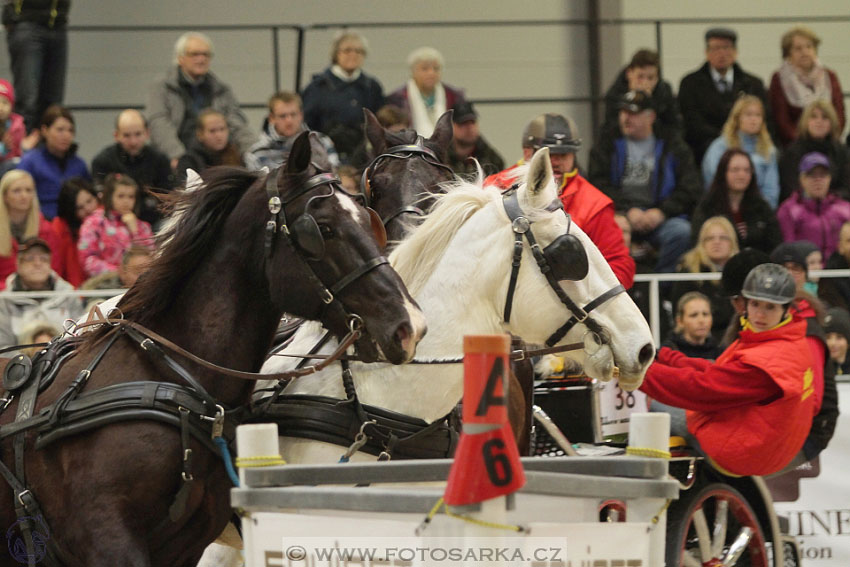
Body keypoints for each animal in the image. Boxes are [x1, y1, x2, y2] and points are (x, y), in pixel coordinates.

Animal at [0, 134, 424, 567]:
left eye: (368, 221)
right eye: (322, 229)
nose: (409, 325)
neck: (167, 380)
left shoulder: (188, 545)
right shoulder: (104, 537)